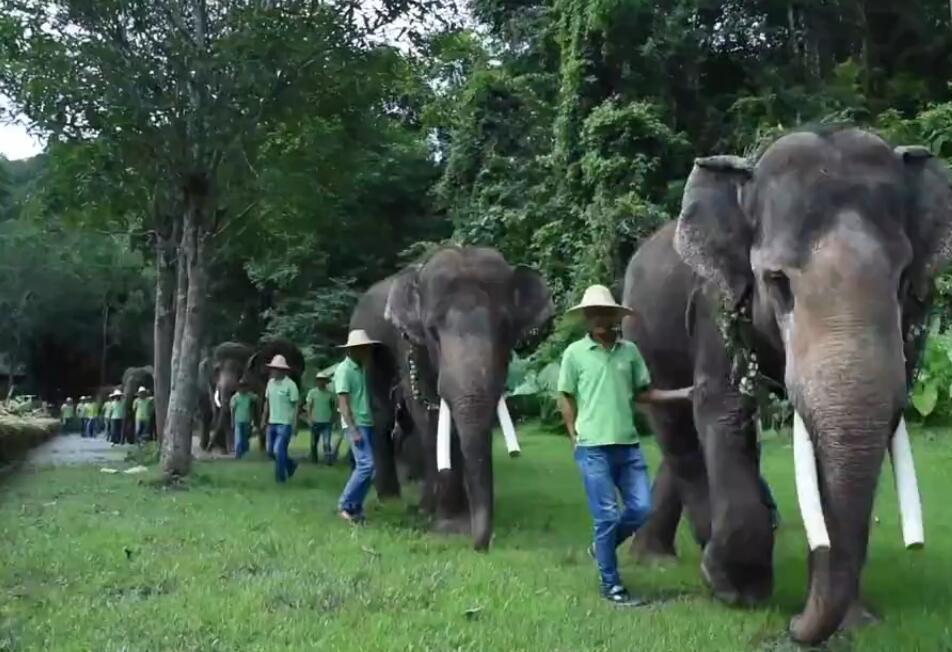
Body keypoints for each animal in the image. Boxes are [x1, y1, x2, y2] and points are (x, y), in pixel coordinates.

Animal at [350, 248, 552, 552]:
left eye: (506, 328)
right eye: (432, 331)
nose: (481, 546)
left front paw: (456, 518)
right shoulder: (410, 344)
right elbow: (429, 412)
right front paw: (451, 526)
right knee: (381, 415)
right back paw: (393, 501)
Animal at [616, 125, 944, 644]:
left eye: (900, 281)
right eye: (776, 281)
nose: (794, 624)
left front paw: (854, 622)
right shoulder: (715, 303)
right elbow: (725, 408)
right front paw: (737, 592)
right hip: (642, 331)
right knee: (676, 425)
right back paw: (670, 558)